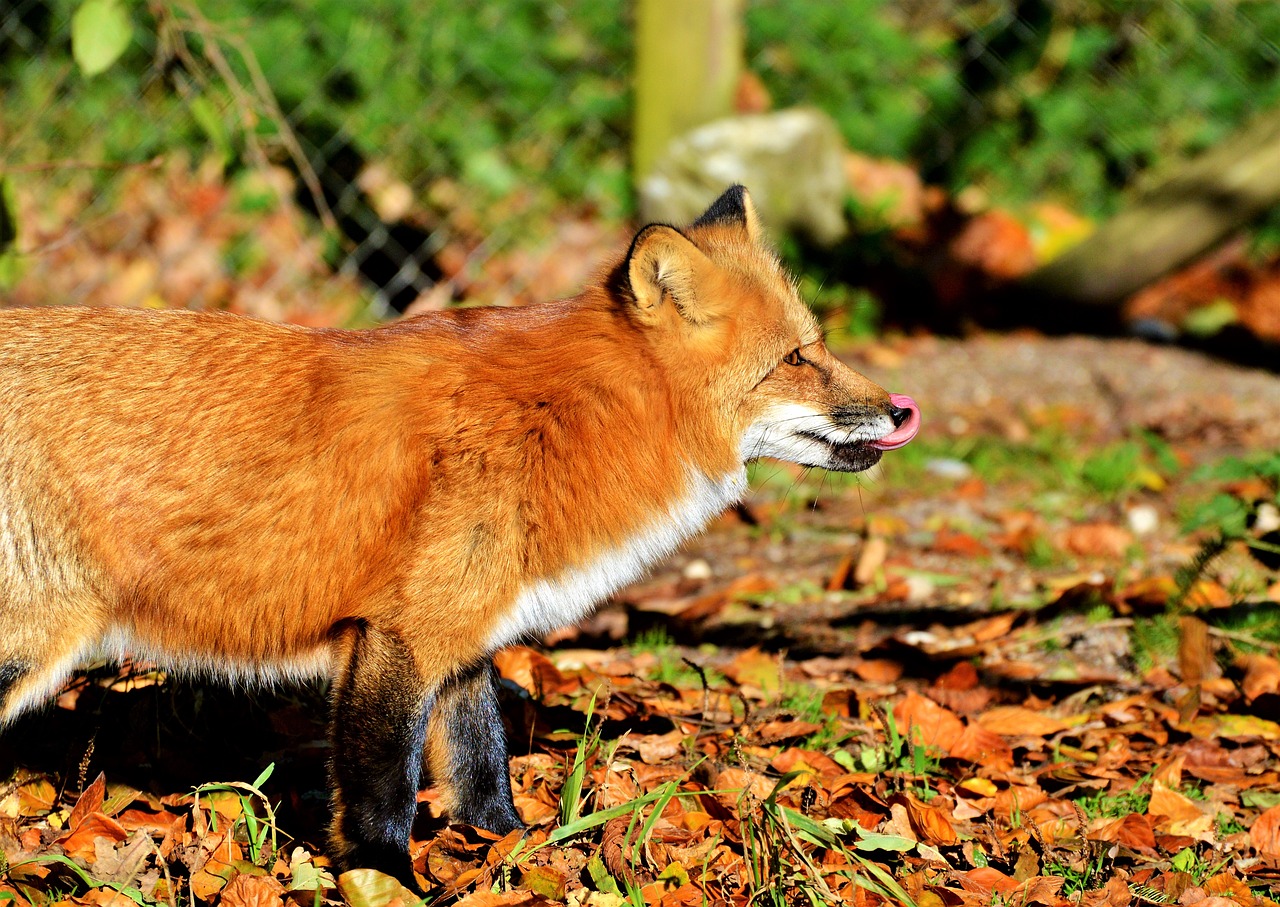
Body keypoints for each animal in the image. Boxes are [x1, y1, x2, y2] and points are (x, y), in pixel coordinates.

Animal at [0, 188, 921, 890]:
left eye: (817, 346)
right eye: (797, 359)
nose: (901, 410)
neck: (570, 418)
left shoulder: (463, 632)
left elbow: (482, 770)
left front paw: (509, 851)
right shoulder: (398, 637)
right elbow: (383, 788)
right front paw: (384, 879)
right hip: (25, 646)